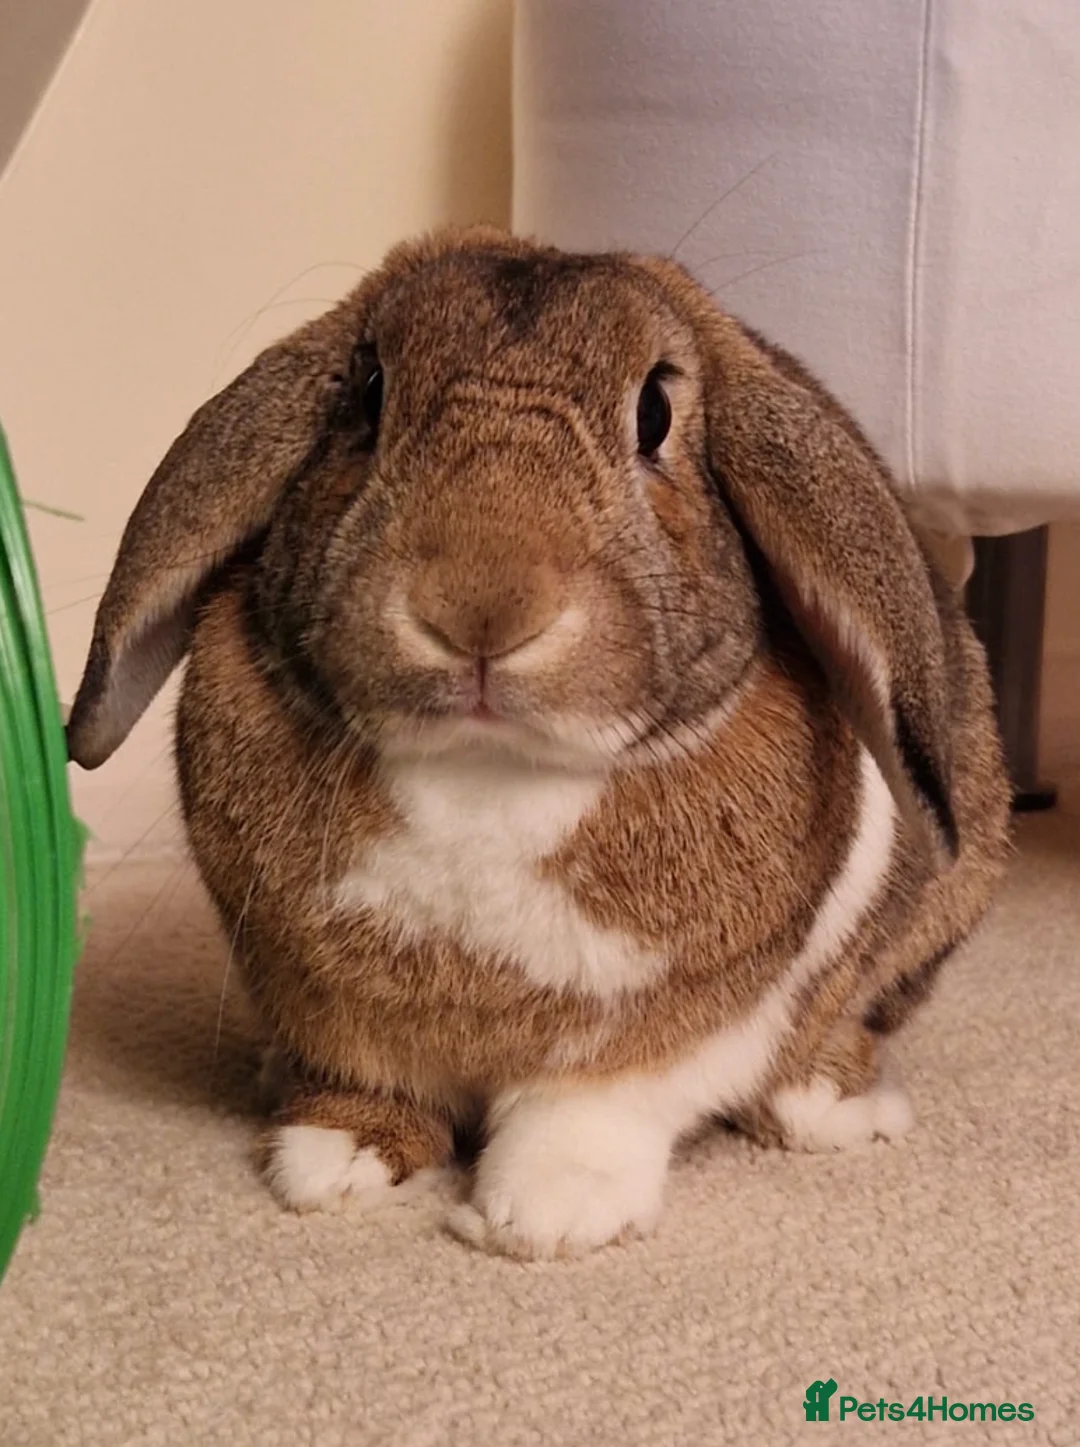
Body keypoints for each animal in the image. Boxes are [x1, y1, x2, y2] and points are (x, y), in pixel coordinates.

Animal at [67, 226, 1011, 1259]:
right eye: (367, 394)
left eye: (655, 412)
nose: (480, 606)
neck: (488, 774)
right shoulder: (324, 1004)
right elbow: (362, 1081)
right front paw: (332, 1160)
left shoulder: (668, 1038)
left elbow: (592, 1109)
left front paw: (546, 1218)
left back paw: (830, 1109)